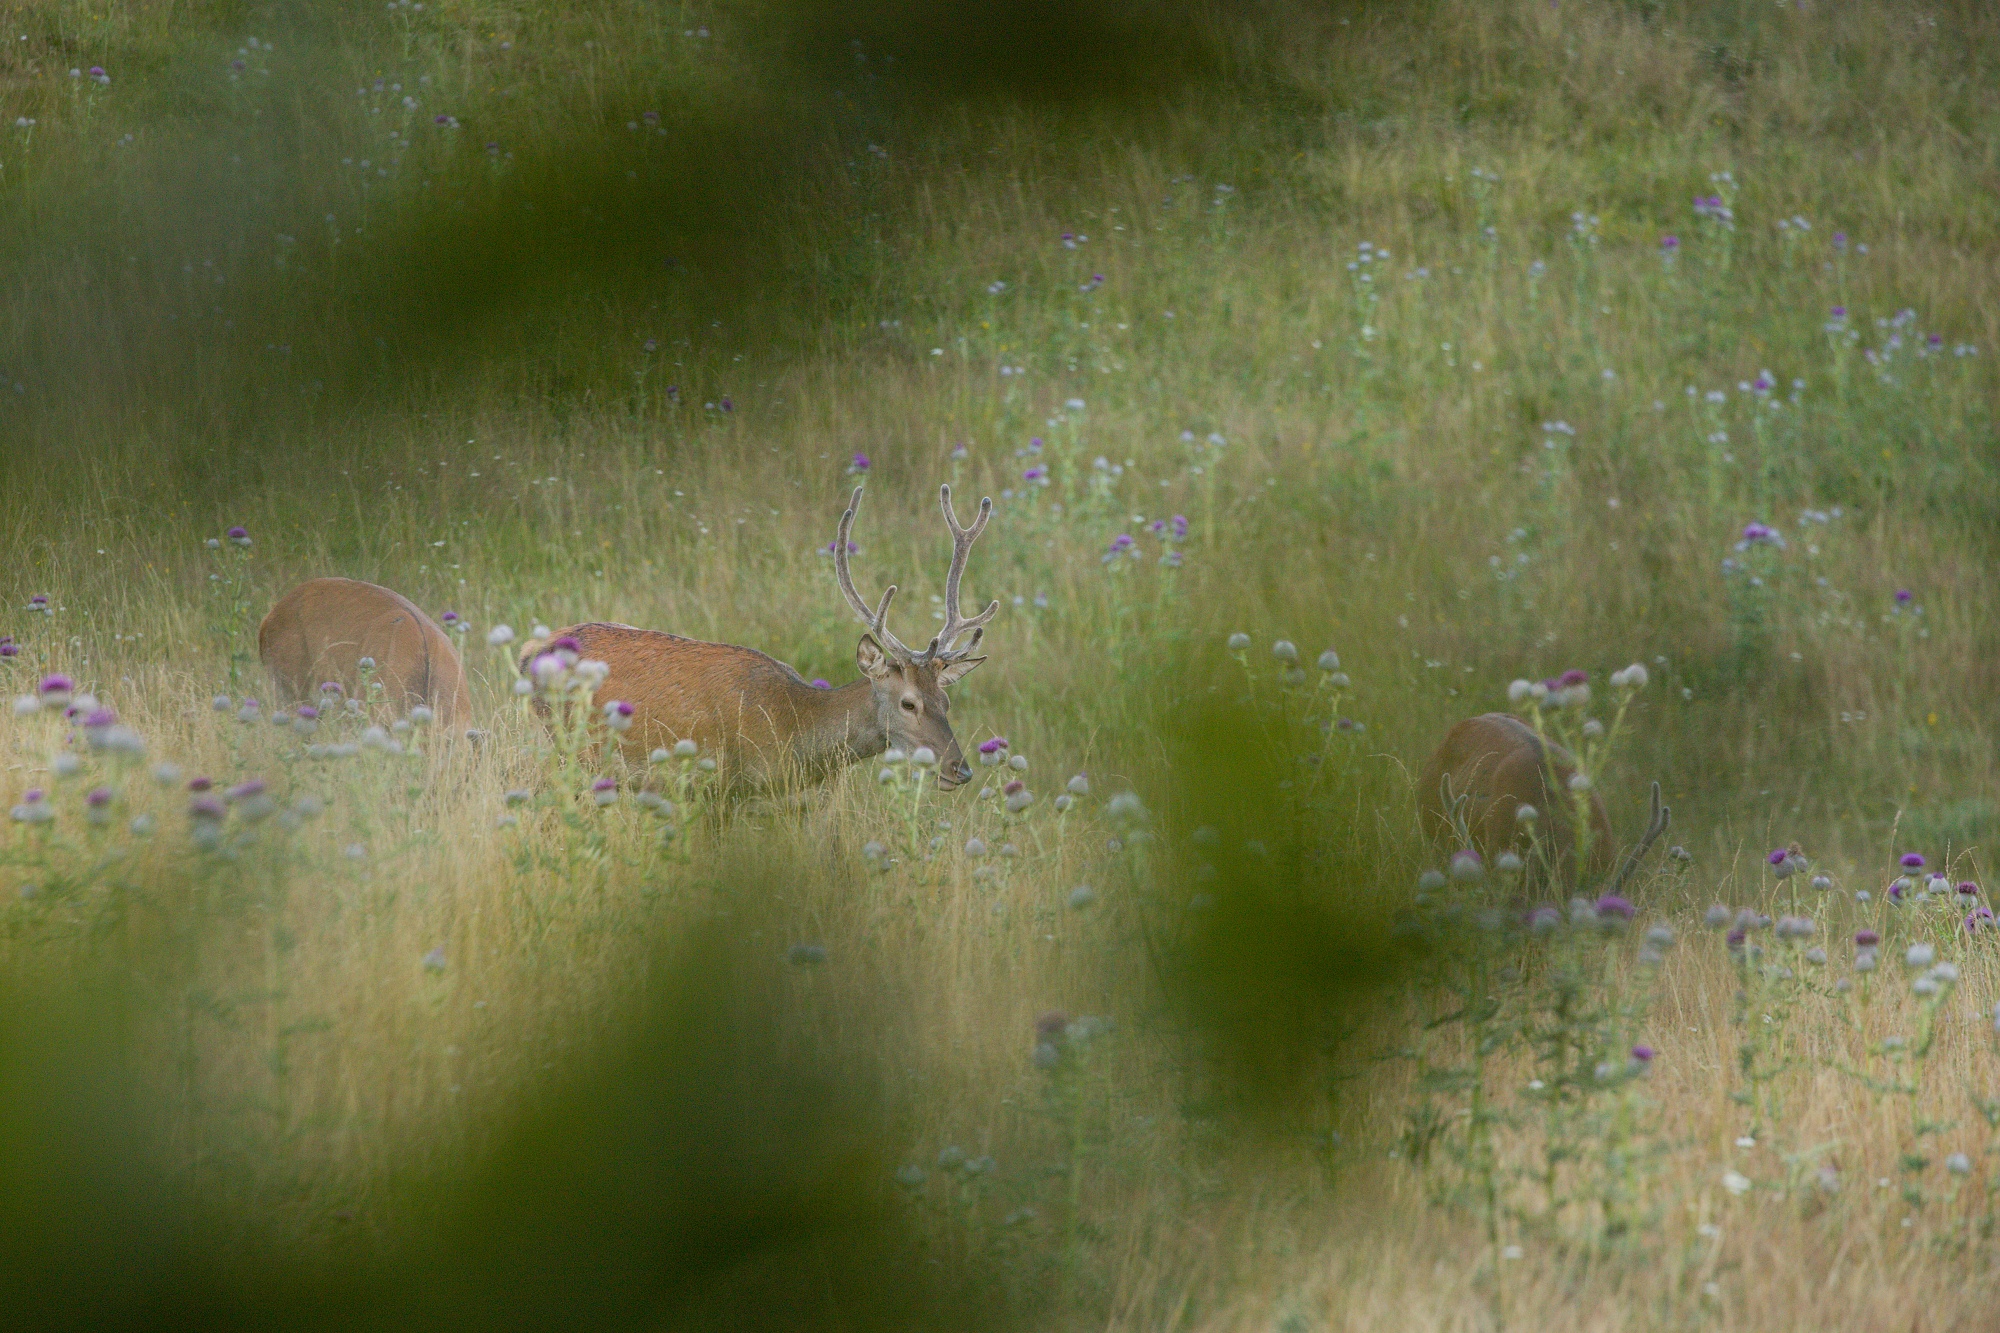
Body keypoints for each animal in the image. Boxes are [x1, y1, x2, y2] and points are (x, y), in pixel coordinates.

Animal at [524, 482, 1000, 784]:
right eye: (908, 703)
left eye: (947, 702)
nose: (961, 770)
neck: (790, 729)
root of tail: (532, 650)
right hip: (568, 750)